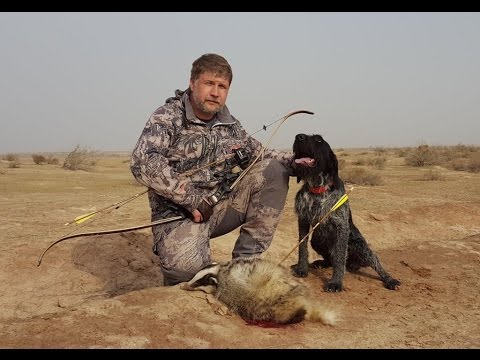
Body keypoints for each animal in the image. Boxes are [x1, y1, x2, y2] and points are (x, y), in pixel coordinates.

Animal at [290, 134, 400, 292]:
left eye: (318, 140)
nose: (299, 137)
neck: (318, 189)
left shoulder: (341, 226)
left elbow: (340, 257)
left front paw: (336, 282)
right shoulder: (303, 220)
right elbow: (302, 248)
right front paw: (302, 268)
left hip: (361, 246)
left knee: (374, 262)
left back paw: (388, 279)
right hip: (316, 240)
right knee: (330, 259)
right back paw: (321, 263)